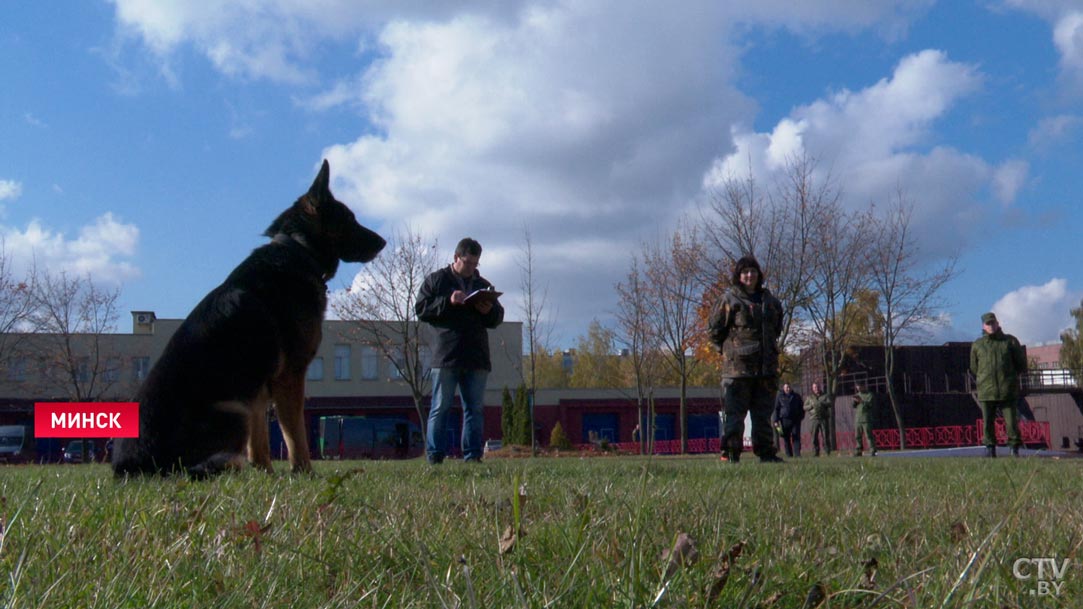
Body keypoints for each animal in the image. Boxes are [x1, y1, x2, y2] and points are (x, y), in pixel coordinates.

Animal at [113, 160, 385, 474]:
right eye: (350, 219)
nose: (383, 242)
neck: (297, 249)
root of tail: (131, 466)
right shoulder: (289, 377)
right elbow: (295, 434)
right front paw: (304, 473)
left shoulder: (257, 392)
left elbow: (260, 441)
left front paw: (266, 473)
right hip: (233, 410)